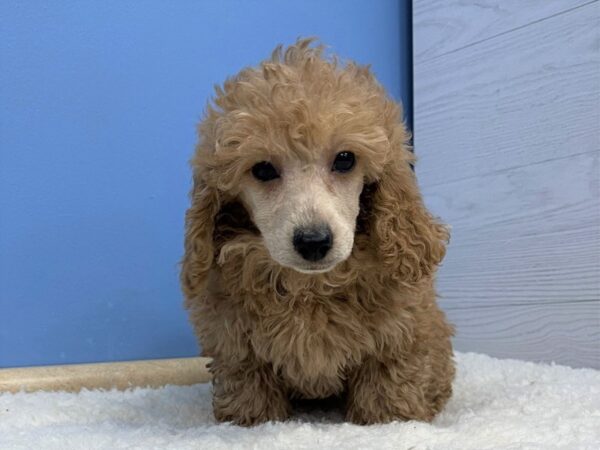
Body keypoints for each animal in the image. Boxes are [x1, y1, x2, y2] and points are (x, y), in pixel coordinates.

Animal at [180, 38, 452, 426]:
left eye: (345, 159)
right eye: (262, 169)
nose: (313, 242)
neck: (310, 287)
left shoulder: (401, 333)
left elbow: (388, 383)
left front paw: (391, 420)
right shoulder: (234, 342)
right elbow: (247, 382)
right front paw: (249, 420)